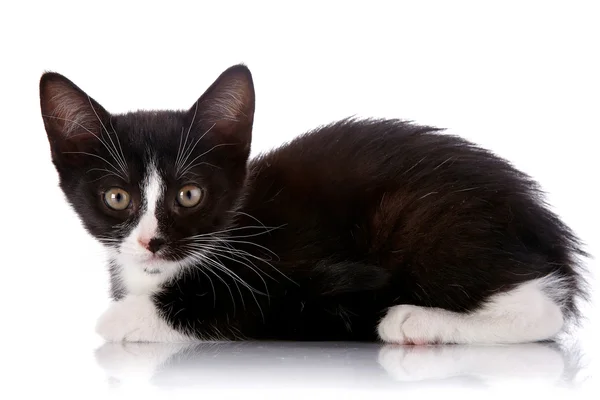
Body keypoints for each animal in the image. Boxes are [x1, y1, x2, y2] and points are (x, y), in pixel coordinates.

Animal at [39, 65, 588, 344]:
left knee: (543, 309)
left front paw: (125, 317)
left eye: (189, 194)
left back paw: (416, 322)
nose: (152, 242)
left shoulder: (307, 281)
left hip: (419, 217)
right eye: (117, 197)